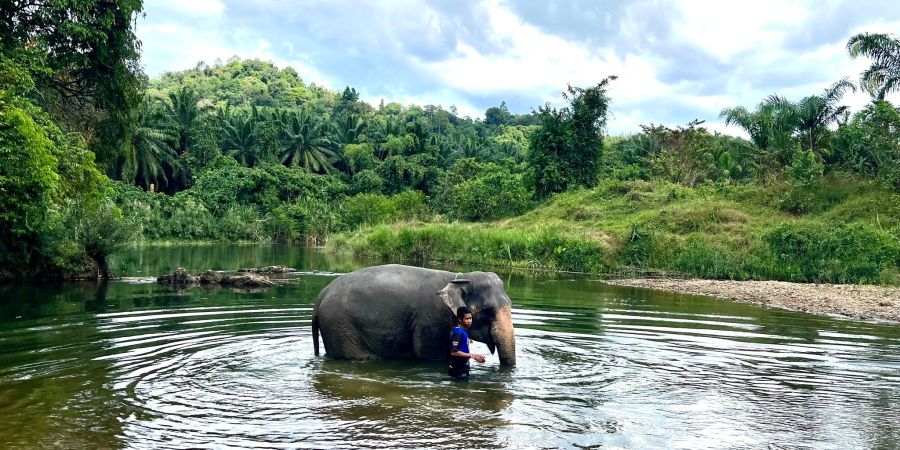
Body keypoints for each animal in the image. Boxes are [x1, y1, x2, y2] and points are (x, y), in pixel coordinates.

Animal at [312, 264, 516, 366]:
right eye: (488, 311)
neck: (457, 278)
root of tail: (321, 295)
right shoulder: (431, 319)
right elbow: (429, 355)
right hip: (340, 327)